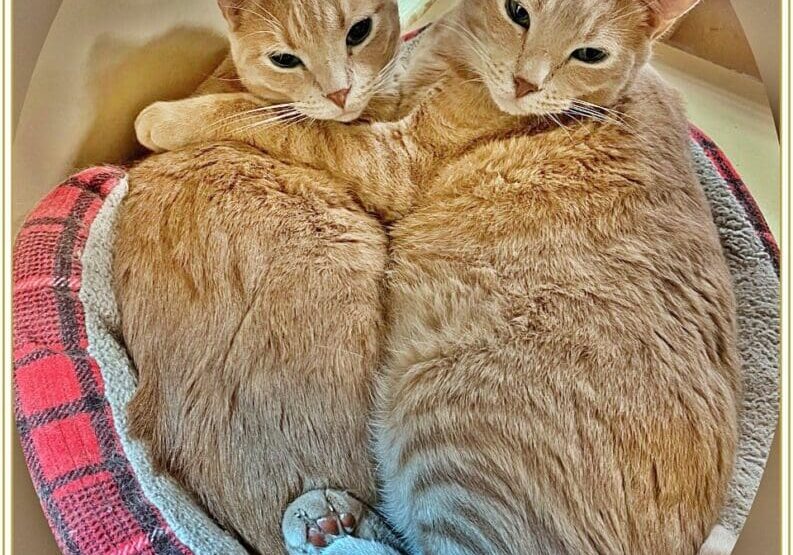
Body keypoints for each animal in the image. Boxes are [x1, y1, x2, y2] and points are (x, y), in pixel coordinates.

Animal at [139, 0, 740, 552]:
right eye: (519, 12)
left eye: (590, 54)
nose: (525, 83)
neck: (453, 52)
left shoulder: (391, 157)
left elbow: (286, 124)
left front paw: (167, 118)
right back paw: (327, 519)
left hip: (454, 450)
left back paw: (323, 525)